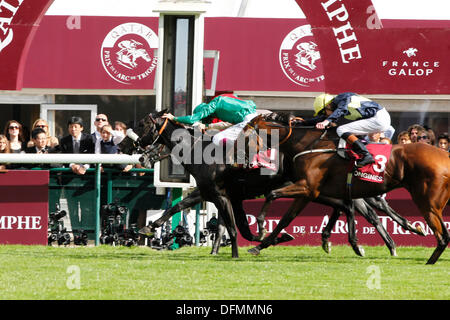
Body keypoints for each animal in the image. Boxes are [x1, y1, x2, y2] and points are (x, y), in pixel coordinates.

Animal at [246, 114, 450, 264]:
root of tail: (444, 156)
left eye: (245, 136)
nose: (245, 160)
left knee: (441, 235)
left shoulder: (308, 188)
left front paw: (261, 228)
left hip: (426, 202)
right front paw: (260, 245)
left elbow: (272, 195)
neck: (308, 145)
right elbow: (286, 218)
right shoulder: (309, 192)